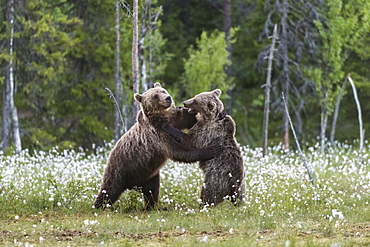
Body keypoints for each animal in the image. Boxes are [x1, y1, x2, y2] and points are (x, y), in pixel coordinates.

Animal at [95, 83, 223, 210]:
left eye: (163, 91)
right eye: (155, 96)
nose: (168, 98)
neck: (163, 117)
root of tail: (133, 185)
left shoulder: (175, 119)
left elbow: (188, 118)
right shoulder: (156, 135)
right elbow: (178, 151)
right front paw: (212, 149)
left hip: (149, 175)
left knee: (151, 191)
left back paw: (153, 207)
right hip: (120, 168)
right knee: (109, 190)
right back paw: (98, 205)